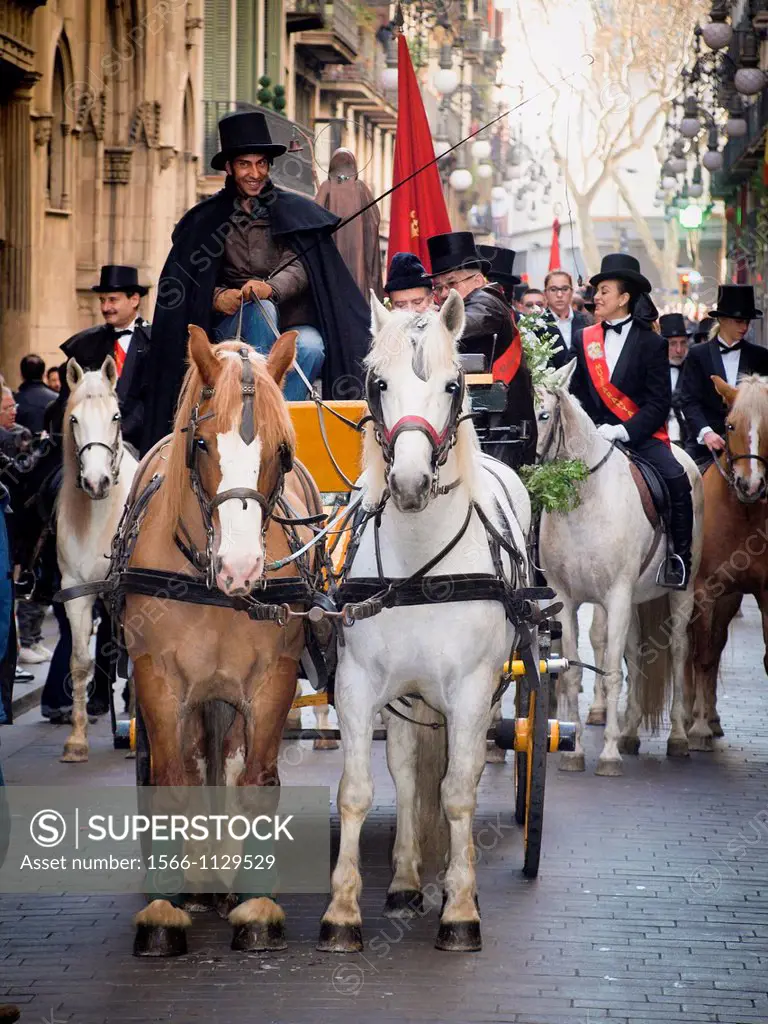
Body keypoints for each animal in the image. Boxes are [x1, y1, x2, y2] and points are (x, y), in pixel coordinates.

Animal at [124, 329, 323, 958]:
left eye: (282, 450)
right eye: (203, 443)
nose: (241, 567)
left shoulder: (271, 680)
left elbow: (255, 782)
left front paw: (256, 909)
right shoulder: (158, 680)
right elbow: (170, 784)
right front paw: (164, 914)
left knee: (228, 765)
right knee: (192, 764)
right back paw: (196, 882)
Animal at [317, 288, 528, 950]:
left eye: (453, 384)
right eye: (378, 382)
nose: (409, 483)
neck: (419, 570)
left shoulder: (471, 689)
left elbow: (458, 793)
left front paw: (460, 910)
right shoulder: (357, 684)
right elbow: (359, 792)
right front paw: (342, 912)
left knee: (458, 774)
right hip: (408, 696)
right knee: (408, 775)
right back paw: (407, 881)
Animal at [536, 364, 704, 770]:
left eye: (544, 415)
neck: (582, 501)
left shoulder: (616, 595)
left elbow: (611, 670)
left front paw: (608, 752)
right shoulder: (566, 598)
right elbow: (571, 672)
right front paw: (575, 750)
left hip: (681, 592)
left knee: (678, 650)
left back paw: (677, 737)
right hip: (635, 601)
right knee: (636, 651)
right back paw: (630, 733)